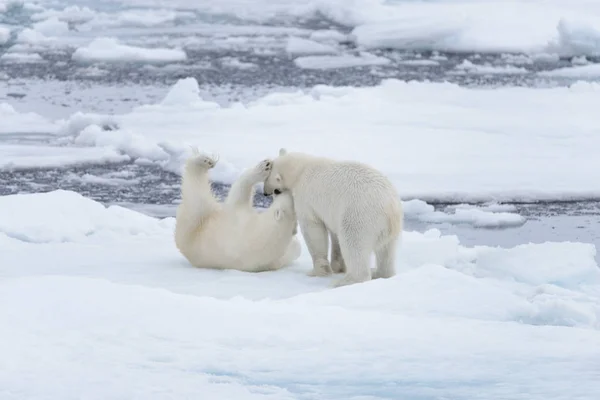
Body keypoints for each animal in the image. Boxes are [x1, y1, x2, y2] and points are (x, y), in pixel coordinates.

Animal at [262, 148, 404, 286]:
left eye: (275, 190)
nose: (265, 192)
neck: (302, 169)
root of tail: (390, 208)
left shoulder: (306, 198)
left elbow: (313, 230)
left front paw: (317, 271)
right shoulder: (333, 211)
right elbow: (335, 234)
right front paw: (338, 267)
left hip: (359, 216)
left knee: (353, 244)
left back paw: (345, 281)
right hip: (390, 227)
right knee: (387, 251)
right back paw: (379, 273)